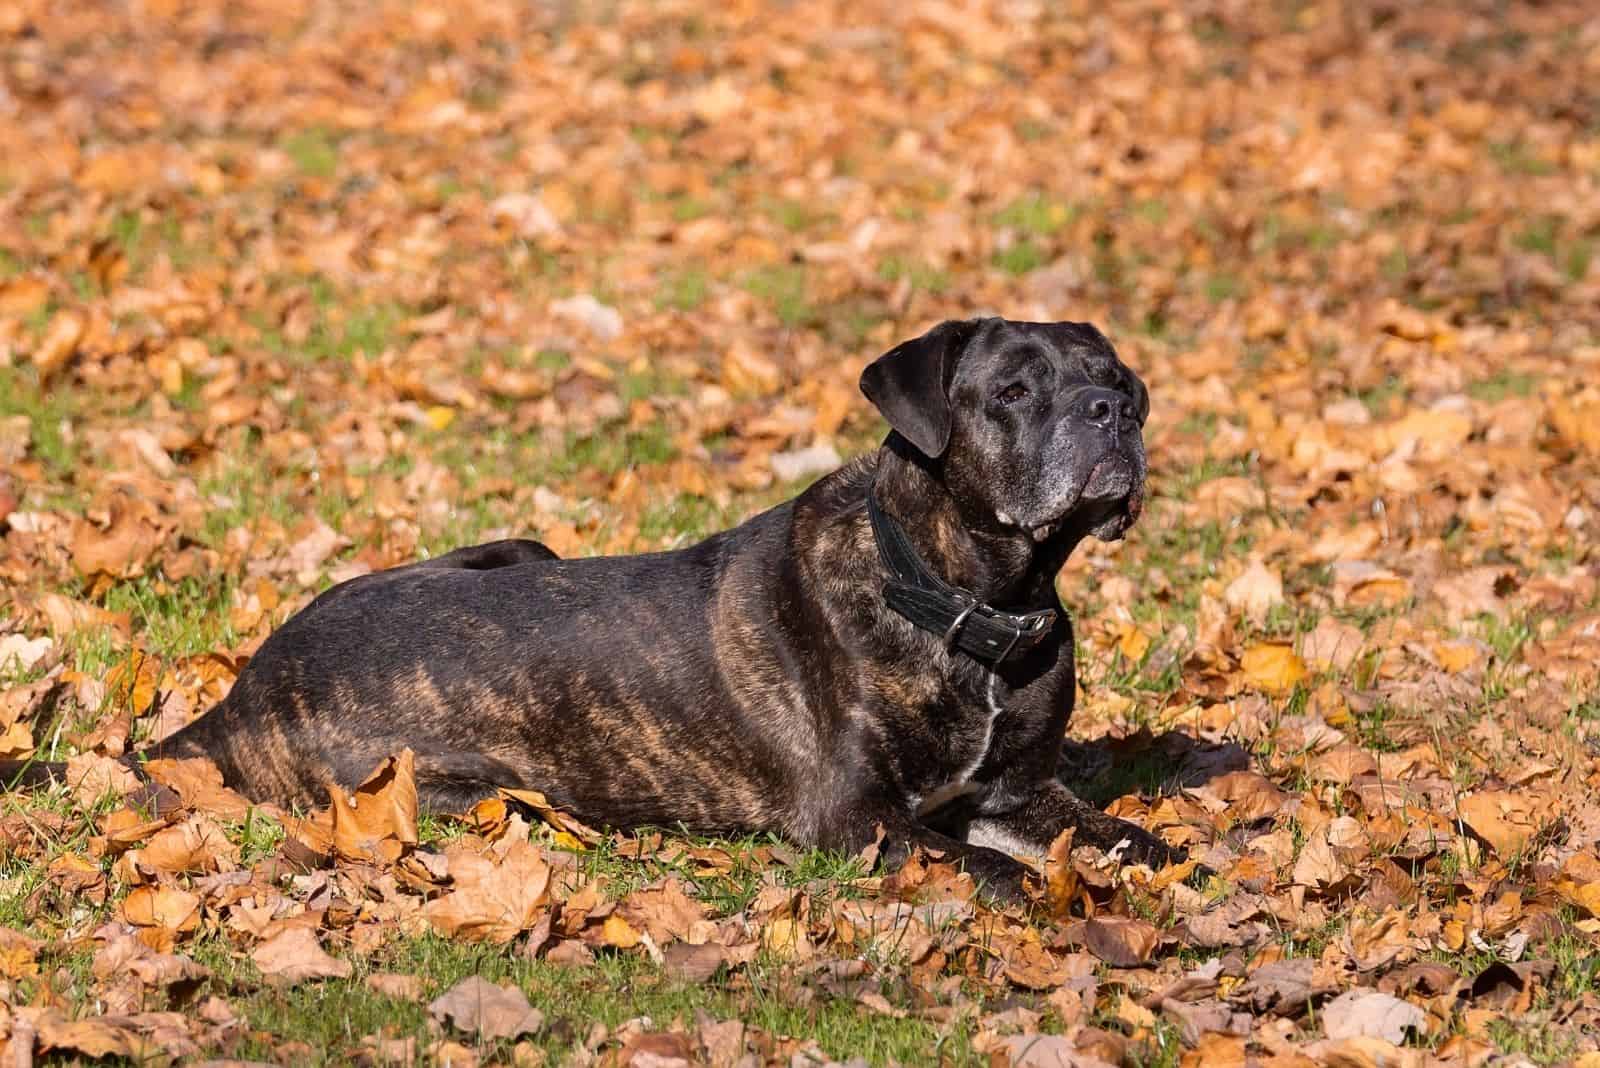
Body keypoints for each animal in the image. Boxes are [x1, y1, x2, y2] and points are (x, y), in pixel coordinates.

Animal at [3, 319, 1177, 901]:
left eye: (1119, 377)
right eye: (1011, 393)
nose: (1109, 410)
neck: (974, 601)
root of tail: (243, 694)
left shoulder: (1018, 788)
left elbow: (1126, 837)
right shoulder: (855, 820)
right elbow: (979, 865)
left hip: (517, 546)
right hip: (475, 793)